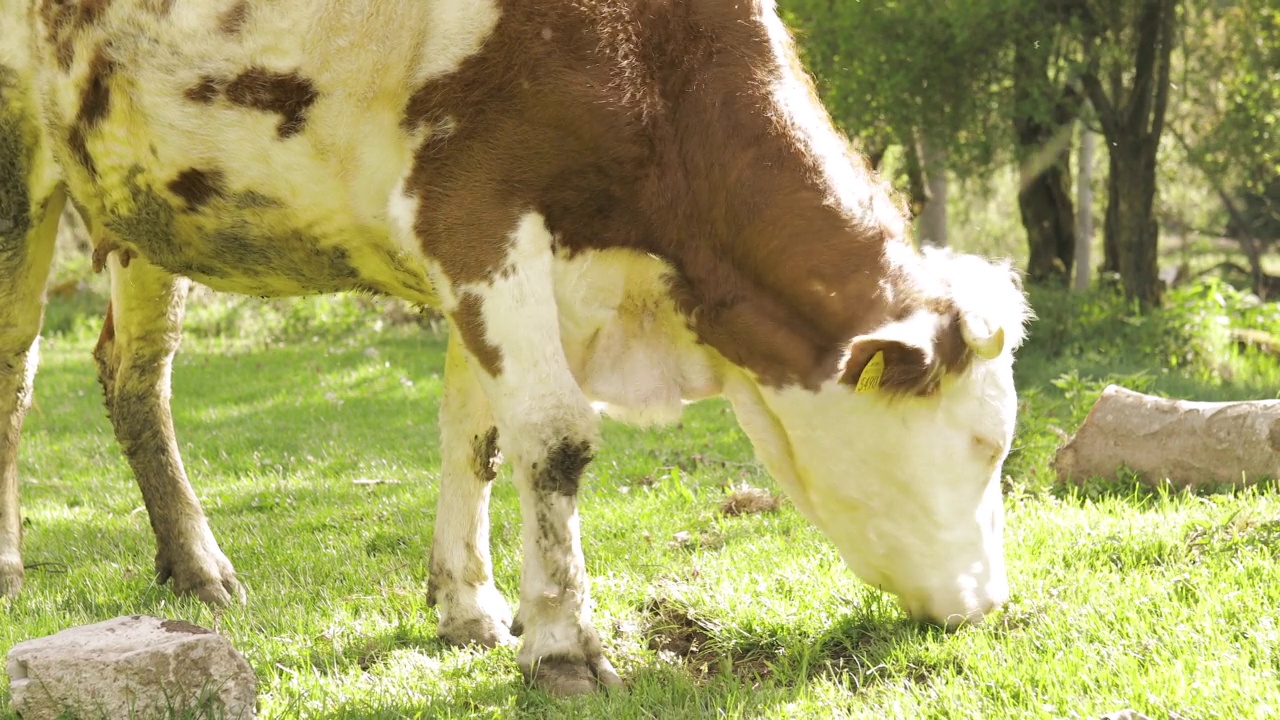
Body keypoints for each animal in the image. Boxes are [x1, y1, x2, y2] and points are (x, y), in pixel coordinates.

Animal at [0, 0, 1029, 691]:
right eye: (988, 446)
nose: (987, 604)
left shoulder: (490, 260)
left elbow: (478, 436)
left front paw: (469, 605)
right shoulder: (477, 213)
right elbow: (555, 436)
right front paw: (563, 644)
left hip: (138, 201)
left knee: (135, 374)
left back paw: (196, 567)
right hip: (18, 168)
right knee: (14, 368)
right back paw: (11, 566)